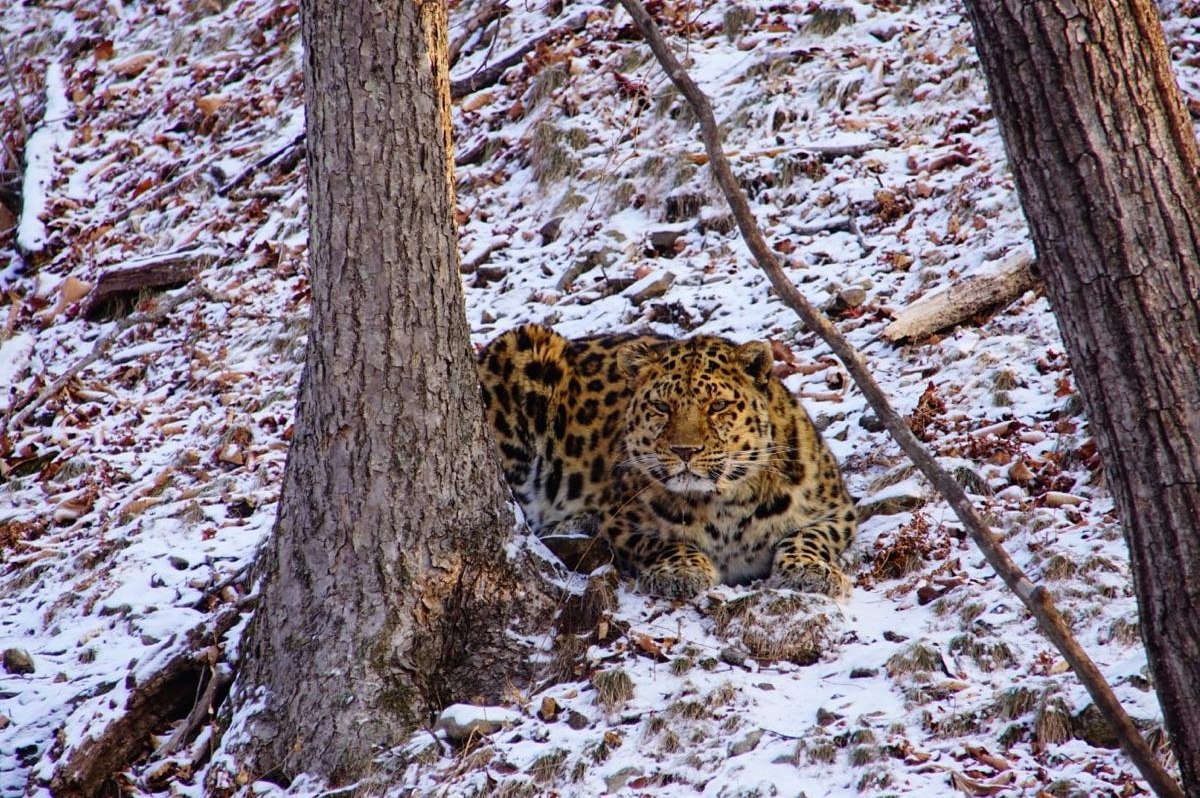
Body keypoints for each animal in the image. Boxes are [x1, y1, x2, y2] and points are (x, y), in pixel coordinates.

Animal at [472, 324, 859, 597]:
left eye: (717, 406)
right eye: (661, 407)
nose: (684, 451)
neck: (724, 504)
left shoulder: (838, 509)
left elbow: (811, 535)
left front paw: (810, 570)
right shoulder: (621, 521)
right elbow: (661, 541)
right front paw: (681, 570)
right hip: (523, 347)